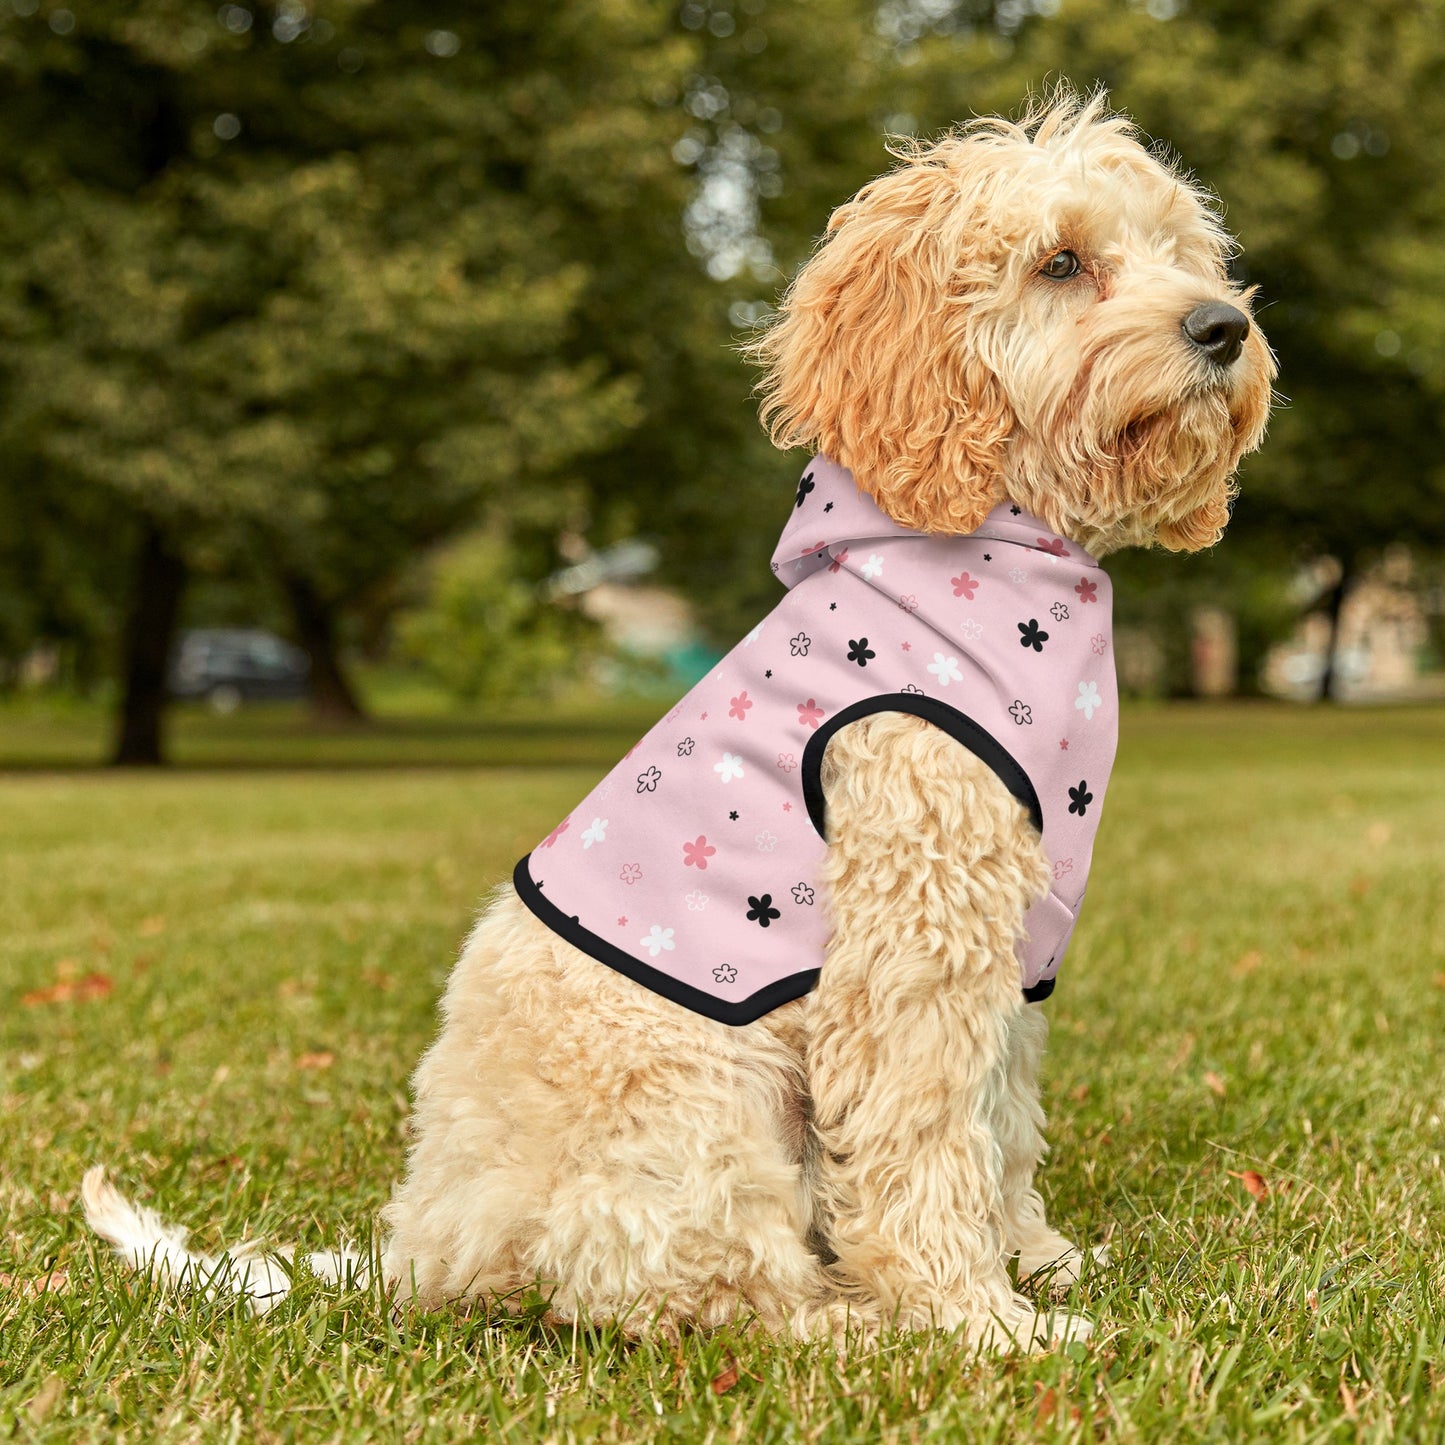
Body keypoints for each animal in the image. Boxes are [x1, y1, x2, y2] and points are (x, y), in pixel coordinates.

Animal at [84, 93, 1271, 1352]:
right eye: (1060, 262)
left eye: (1181, 252)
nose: (1223, 326)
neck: (987, 550)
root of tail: (424, 1246)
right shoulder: (911, 938)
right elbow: (923, 1138)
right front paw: (976, 1318)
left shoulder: (1010, 945)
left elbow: (998, 1121)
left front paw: (1035, 1260)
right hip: (702, 1101)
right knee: (700, 1291)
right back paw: (853, 1322)